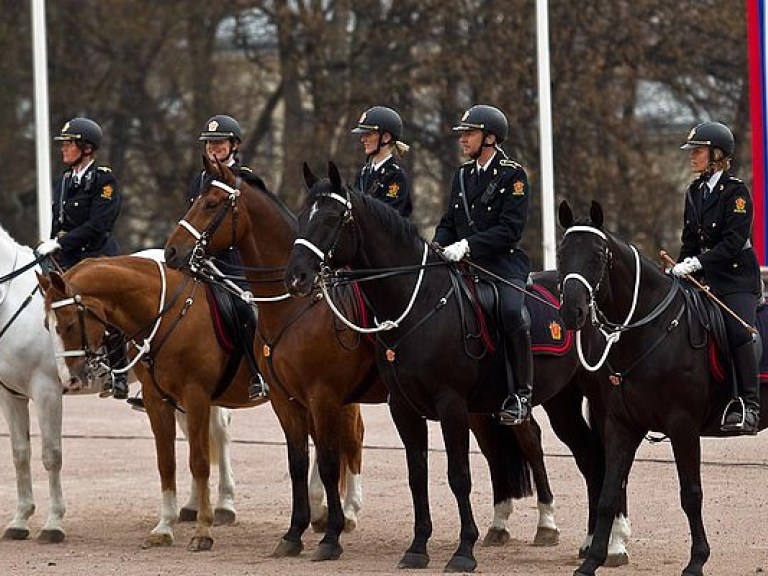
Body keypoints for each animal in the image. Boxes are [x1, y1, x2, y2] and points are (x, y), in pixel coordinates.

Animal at [38, 258, 268, 552]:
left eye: (68, 324)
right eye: (47, 325)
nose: (69, 380)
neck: (170, 318)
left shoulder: (196, 397)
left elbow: (199, 461)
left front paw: (203, 531)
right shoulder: (157, 401)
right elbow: (166, 462)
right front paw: (164, 527)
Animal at [165, 158, 628, 568]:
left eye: (210, 203)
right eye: (303, 215)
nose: (171, 252)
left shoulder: (339, 397)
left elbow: (367, 466)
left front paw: (335, 537)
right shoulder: (297, 401)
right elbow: (322, 466)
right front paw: (297, 535)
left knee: (565, 449)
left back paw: (589, 536)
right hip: (524, 406)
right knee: (577, 457)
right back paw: (561, 537)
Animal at [560, 199, 768, 576]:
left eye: (597, 254)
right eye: (563, 252)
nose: (572, 311)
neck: (651, 329)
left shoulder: (682, 425)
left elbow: (691, 494)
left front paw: (697, 560)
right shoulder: (621, 425)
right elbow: (608, 494)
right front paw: (594, 560)